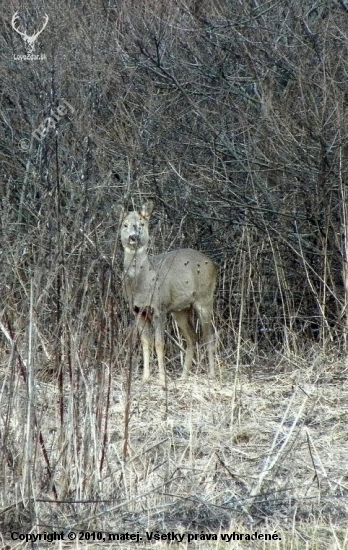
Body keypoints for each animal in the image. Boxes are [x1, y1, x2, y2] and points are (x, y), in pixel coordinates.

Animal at [121, 201, 216, 386]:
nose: (134, 237)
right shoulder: (138, 311)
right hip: (181, 309)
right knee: (192, 337)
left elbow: (159, 343)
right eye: (125, 225)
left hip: (205, 299)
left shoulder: (160, 307)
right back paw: (183, 376)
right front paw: (145, 377)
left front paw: (162, 379)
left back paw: (213, 375)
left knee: (209, 336)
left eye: (142, 224)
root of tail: (213, 265)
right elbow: (146, 342)